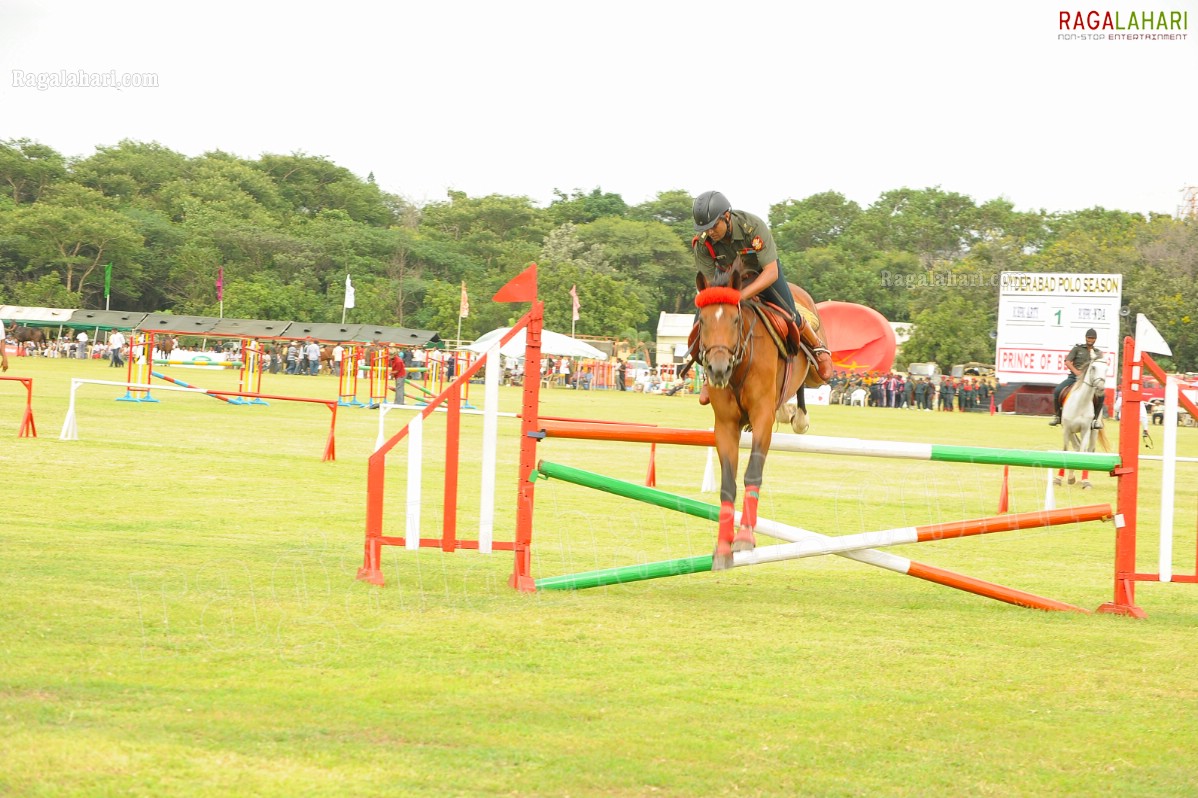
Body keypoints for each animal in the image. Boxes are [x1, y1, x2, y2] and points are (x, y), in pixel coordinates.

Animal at [699, 266, 829, 565]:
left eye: (735, 319)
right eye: (701, 320)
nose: (718, 369)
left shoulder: (762, 419)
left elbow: (752, 474)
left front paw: (745, 538)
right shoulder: (725, 425)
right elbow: (727, 482)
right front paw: (723, 547)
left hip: (815, 369)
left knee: (807, 370)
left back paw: (800, 410)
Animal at [1059, 357, 1111, 488]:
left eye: (1106, 369)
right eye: (1093, 367)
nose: (1100, 388)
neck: (1080, 402)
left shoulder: (1085, 430)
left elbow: (1083, 453)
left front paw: (1085, 481)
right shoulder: (1067, 429)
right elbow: (1065, 450)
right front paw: (1058, 478)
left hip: (1094, 432)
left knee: (1088, 450)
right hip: (1071, 431)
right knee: (1076, 447)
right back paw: (1071, 477)